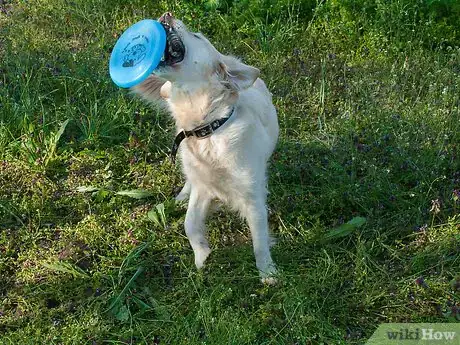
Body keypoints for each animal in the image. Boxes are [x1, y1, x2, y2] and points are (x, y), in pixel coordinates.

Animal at [131, 12, 278, 284]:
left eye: (197, 35)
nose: (167, 14)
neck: (208, 129)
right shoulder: (203, 187)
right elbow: (190, 223)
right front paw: (202, 256)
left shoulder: (252, 194)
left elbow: (259, 240)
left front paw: (268, 272)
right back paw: (181, 196)